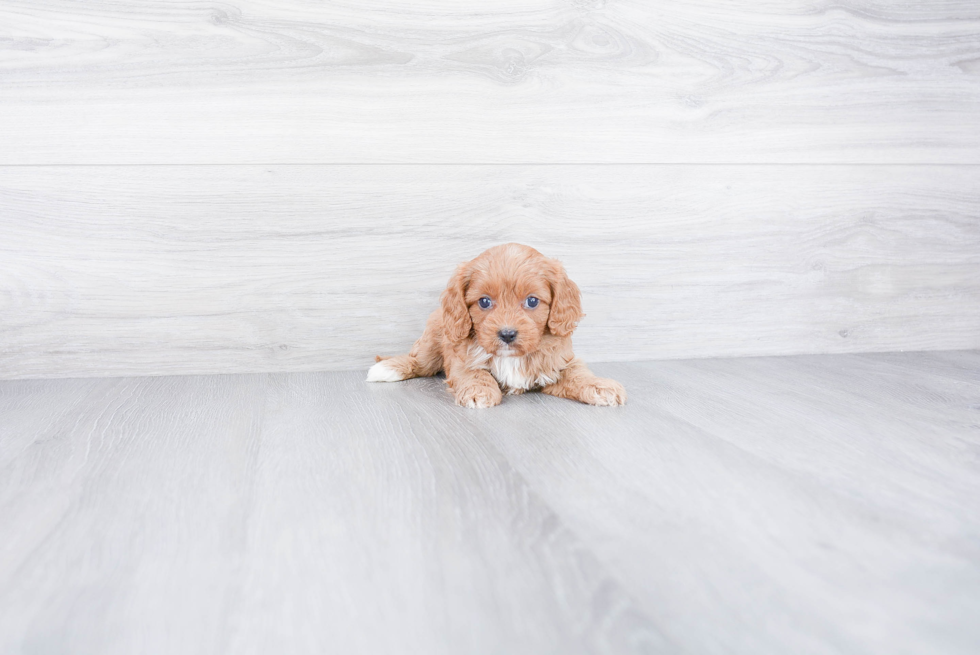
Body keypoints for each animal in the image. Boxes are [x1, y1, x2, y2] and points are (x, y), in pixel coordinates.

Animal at [368, 245, 628, 410]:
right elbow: (476, 373)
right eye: (484, 302)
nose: (507, 334)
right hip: (433, 339)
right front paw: (479, 392)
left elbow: (578, 374)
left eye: (532, 301)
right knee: (418, 361)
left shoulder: (560, 362)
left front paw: (600, 386)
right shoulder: (461, 359)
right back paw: (388, 368)